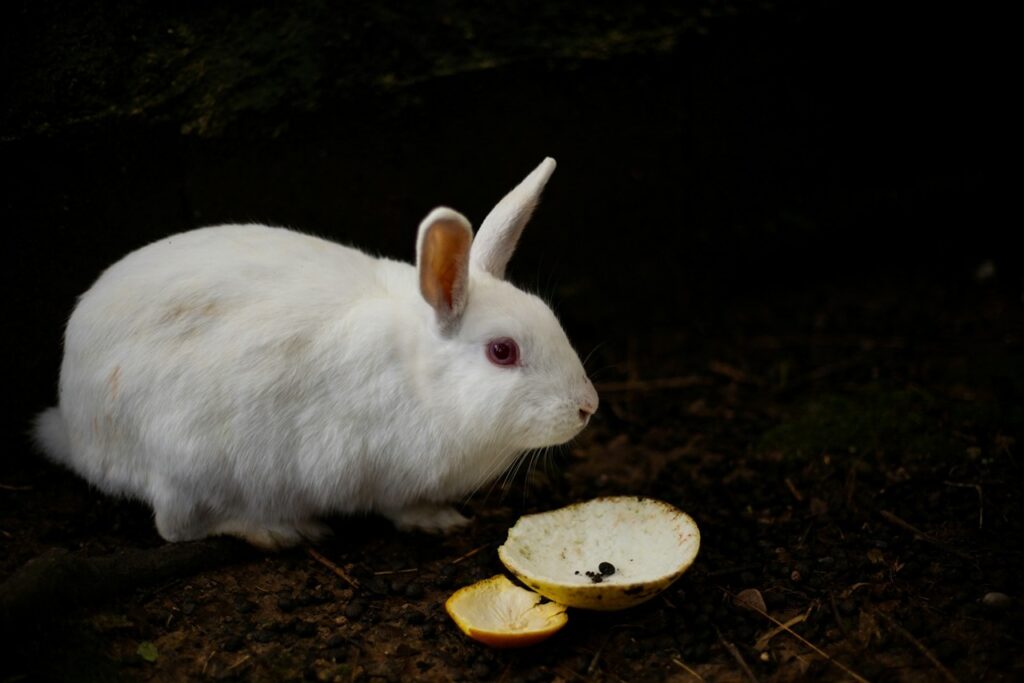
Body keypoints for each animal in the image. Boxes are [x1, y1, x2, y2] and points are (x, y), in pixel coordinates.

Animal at [33, 157, 599, 549]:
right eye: (502, 351)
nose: (587, 407)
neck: (421, 380)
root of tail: (76, 429)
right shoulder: (383, 474)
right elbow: (400, 507)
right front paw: (439, 521)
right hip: (185, 462)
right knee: (177, 528)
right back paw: (278, 530)